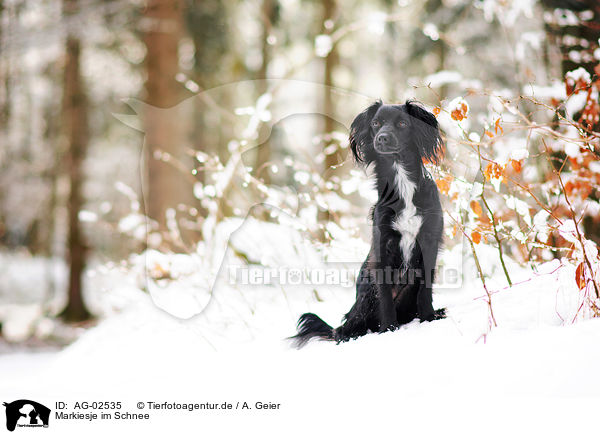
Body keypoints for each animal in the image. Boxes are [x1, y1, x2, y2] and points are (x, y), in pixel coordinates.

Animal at [290, 100, 446, 348]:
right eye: (376, 123)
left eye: (402, 123)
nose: (381, 138)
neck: (402, 185)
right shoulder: (382, 247)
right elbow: (385, 297)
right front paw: (389, 329)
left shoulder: (430, 240)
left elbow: (426, 290)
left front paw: (429, 318)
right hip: (364, 300)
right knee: (347, 328)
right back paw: (351, 334)